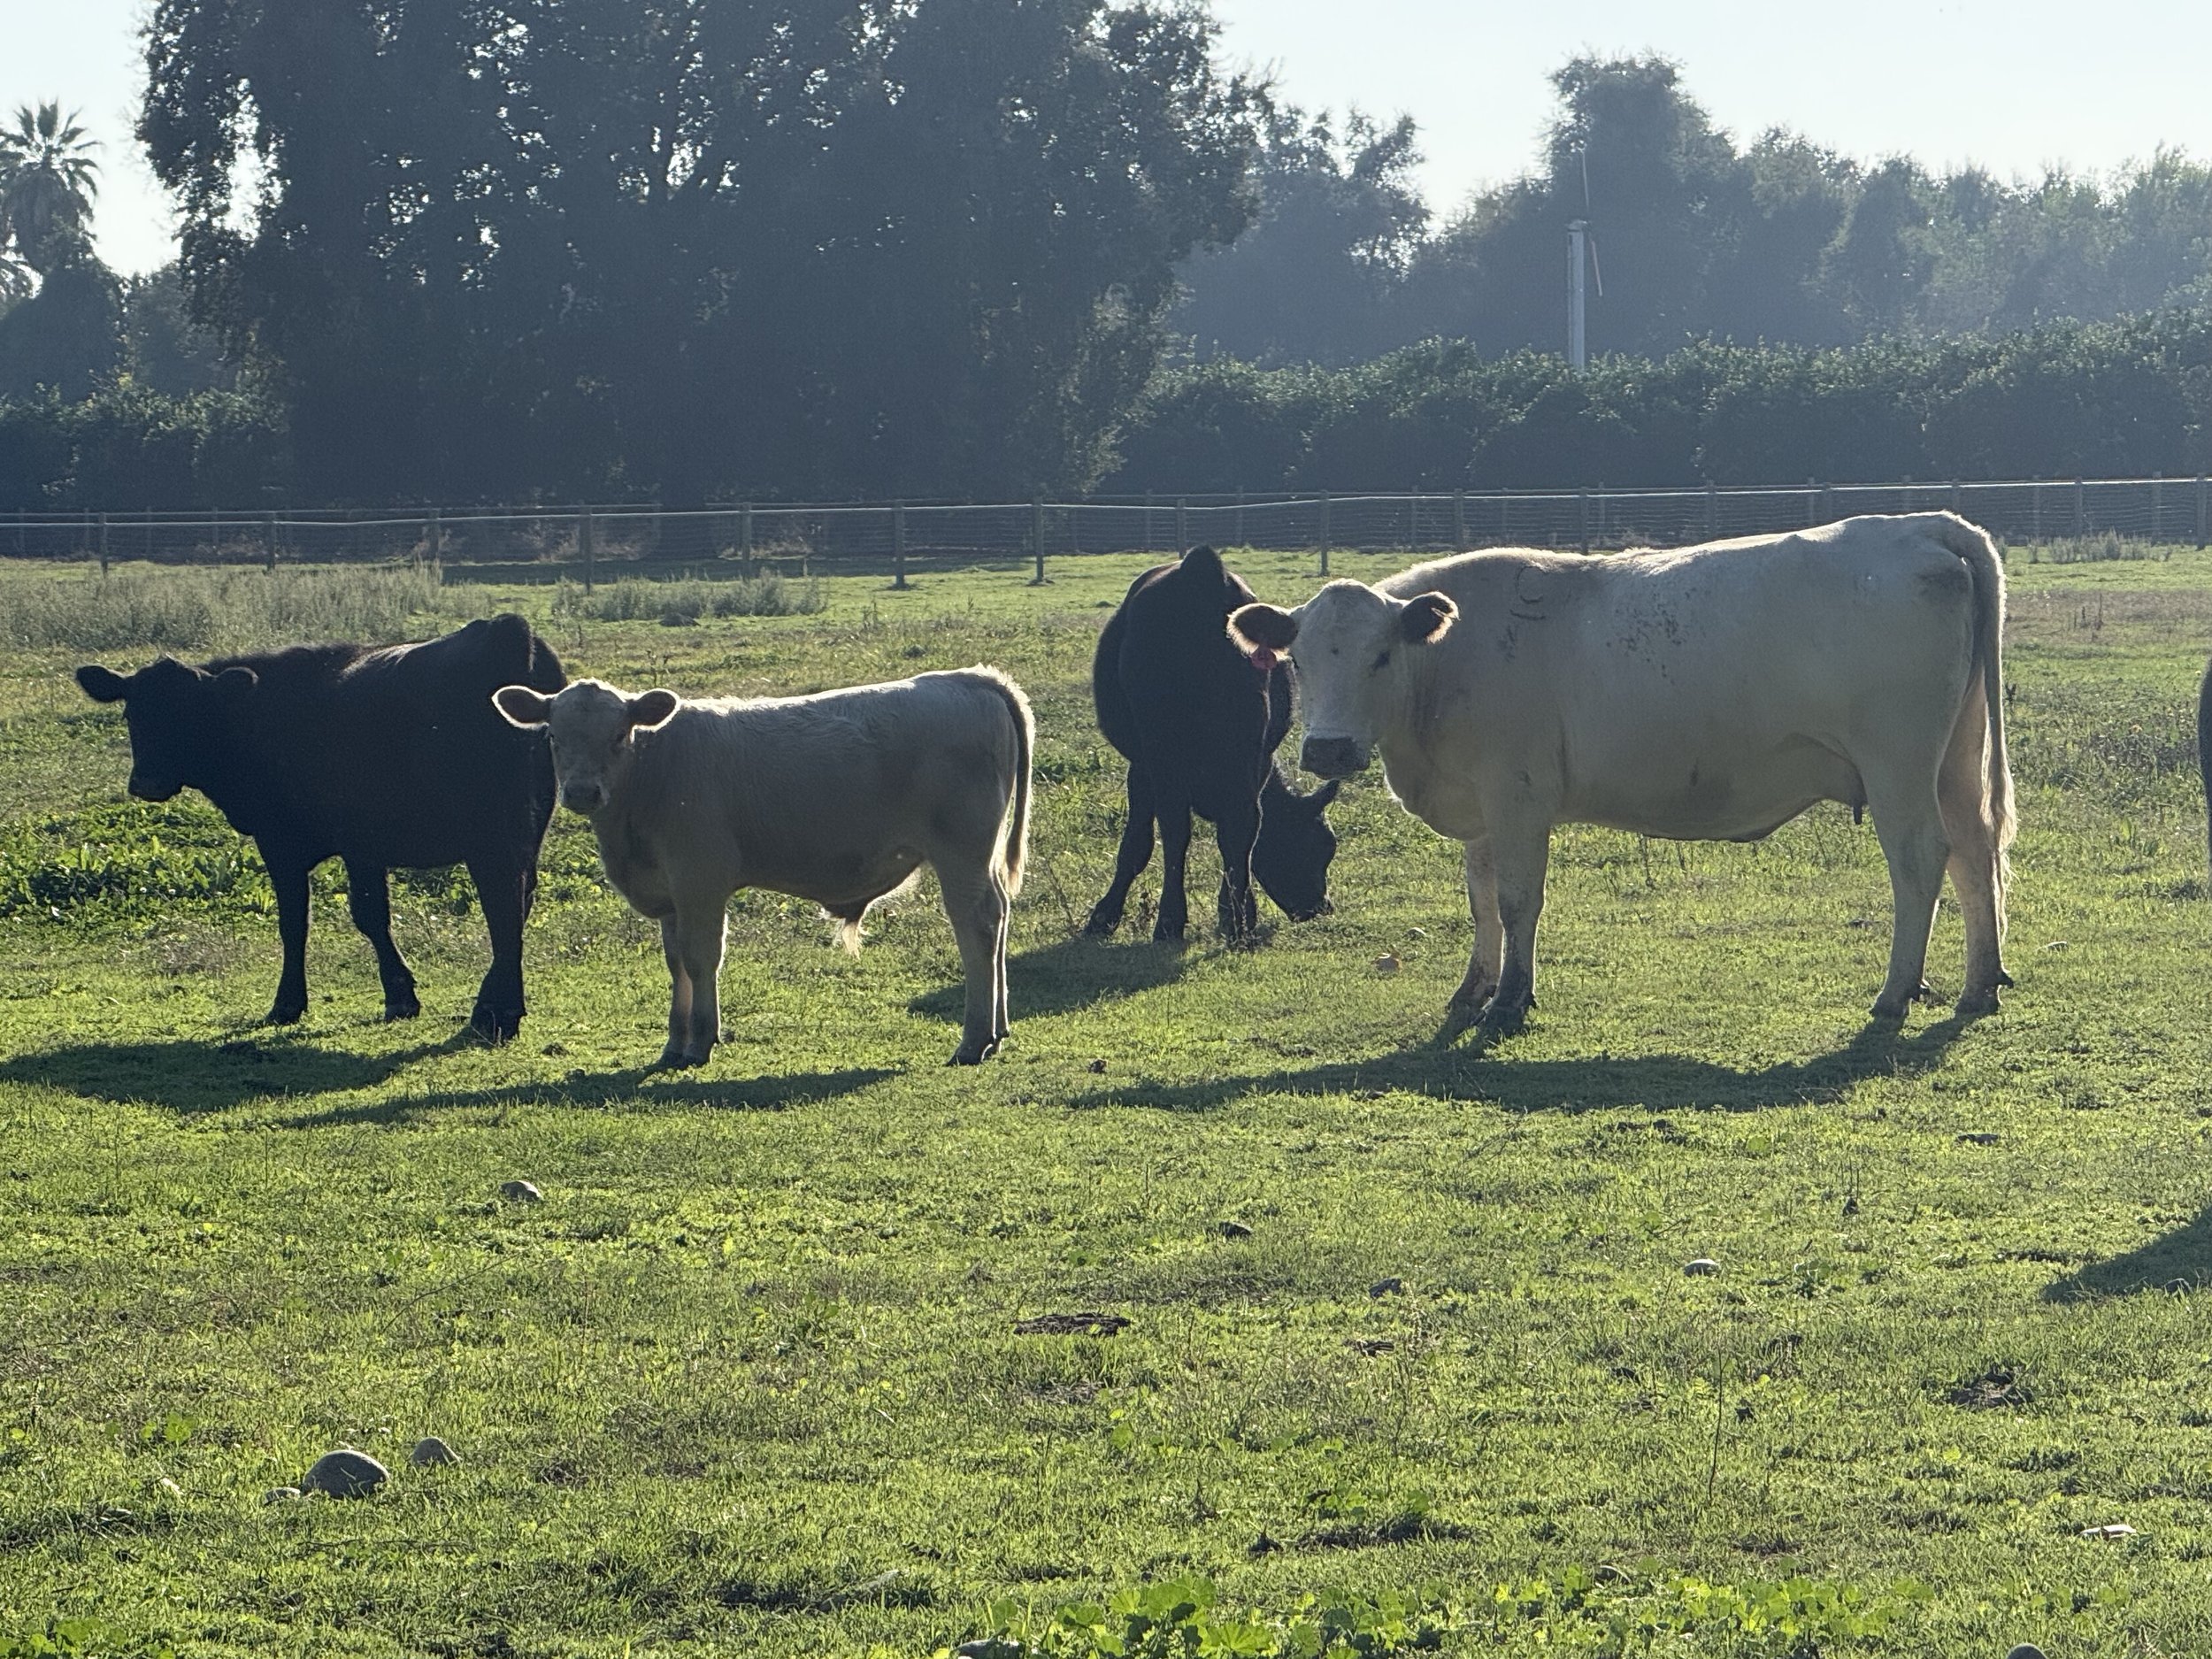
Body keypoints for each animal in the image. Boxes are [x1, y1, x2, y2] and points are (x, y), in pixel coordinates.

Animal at [75, 614, 566, 1041]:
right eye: (132, 714)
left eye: (191, 713)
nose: (148, 782)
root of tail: (505, 630)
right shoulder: (364, 846)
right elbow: (371, 918)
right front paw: (399, 997)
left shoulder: (288, 840)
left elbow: (306, 921)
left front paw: (290, 1003)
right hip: (526, 830)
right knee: (519, 904)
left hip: (491, 837)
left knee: (501, 909)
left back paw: (495, 1013)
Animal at [493, 667, 1032, 1067]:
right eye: (554, 736)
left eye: (619, 734)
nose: (583, 792)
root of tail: (968, 679)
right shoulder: (670, 895)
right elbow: (675, 963)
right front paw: (673, 1045)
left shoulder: (700, 882)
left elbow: (700, 958)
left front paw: (701, 1042)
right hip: (980, 858)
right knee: (1000, 916)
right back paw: (999, 1028)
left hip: (961, 851)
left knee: (977, 925)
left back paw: (974, 1039)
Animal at [1085, 545, 1340, 944]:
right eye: (1317, 845)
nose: (1319, 907)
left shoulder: (1144, 765)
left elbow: (1139, 842)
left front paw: (1106, 914)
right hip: (1241, 741)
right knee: (1242, 824)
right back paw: (1238, 920)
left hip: (1166, 751)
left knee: (1178, 829)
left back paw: (1172, 919)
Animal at [1228, 512, 2015, 1030]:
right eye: (1297, 661)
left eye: (1381, 656)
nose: (1327, 749)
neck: (1451, 658)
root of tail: (1919, 524)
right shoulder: (1482, 806)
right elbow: (1480, 899)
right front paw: (1474, 988)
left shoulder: (1518, 797)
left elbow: (1517, 900)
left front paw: (1511, 998)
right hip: (1954, 762)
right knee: (1976, 853)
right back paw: (1980, 984)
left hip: (1898, 767)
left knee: (1922, 860)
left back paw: (1896, 990)